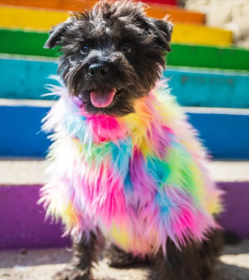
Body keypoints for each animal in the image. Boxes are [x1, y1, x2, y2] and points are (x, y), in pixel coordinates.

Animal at [43, 0, 223, 280]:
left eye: (128, 47)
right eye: (83, 48)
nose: (98, 69)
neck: (112, 128)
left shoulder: (170, 205)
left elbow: (175, 250)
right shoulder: (80, 197)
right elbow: (83, 241)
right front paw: (77, 271)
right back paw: (121, 255)